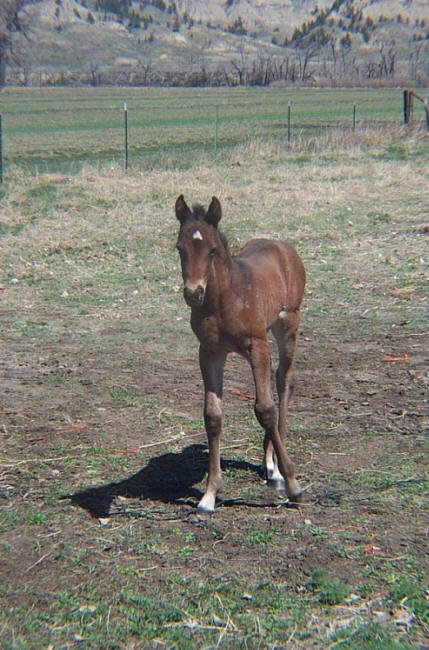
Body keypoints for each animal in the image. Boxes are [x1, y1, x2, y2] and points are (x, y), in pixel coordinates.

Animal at [174, 192, 304, 512]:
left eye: (211, 250)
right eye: (180, 248)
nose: (193, 293)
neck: (224, 298)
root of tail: (283, 246)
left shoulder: (256, 345)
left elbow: (265, 409)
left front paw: (293, 484)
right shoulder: (210, 352)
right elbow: (212, 415)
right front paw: (209, 494)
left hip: (287, 326)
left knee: (283, 382)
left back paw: (278, 469)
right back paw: (270, 466)